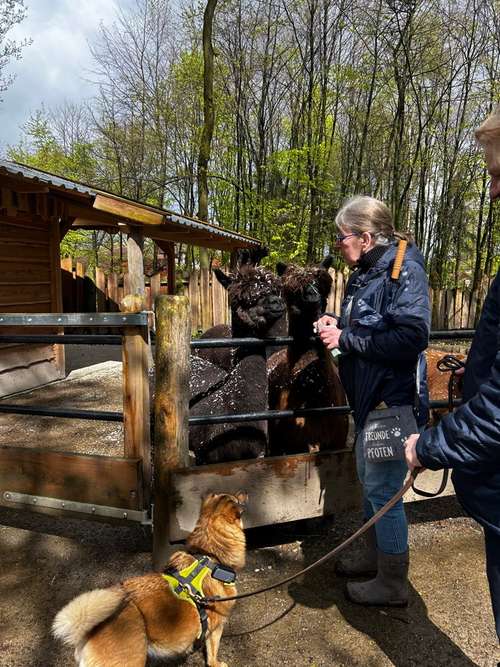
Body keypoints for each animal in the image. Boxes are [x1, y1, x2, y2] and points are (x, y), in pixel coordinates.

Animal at [53, 490, 248, 667]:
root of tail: (88, 632)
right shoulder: (217, 628)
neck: (209, 555)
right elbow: (213, 652)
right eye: (236, 499)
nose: (244, 493)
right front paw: (217, 663)